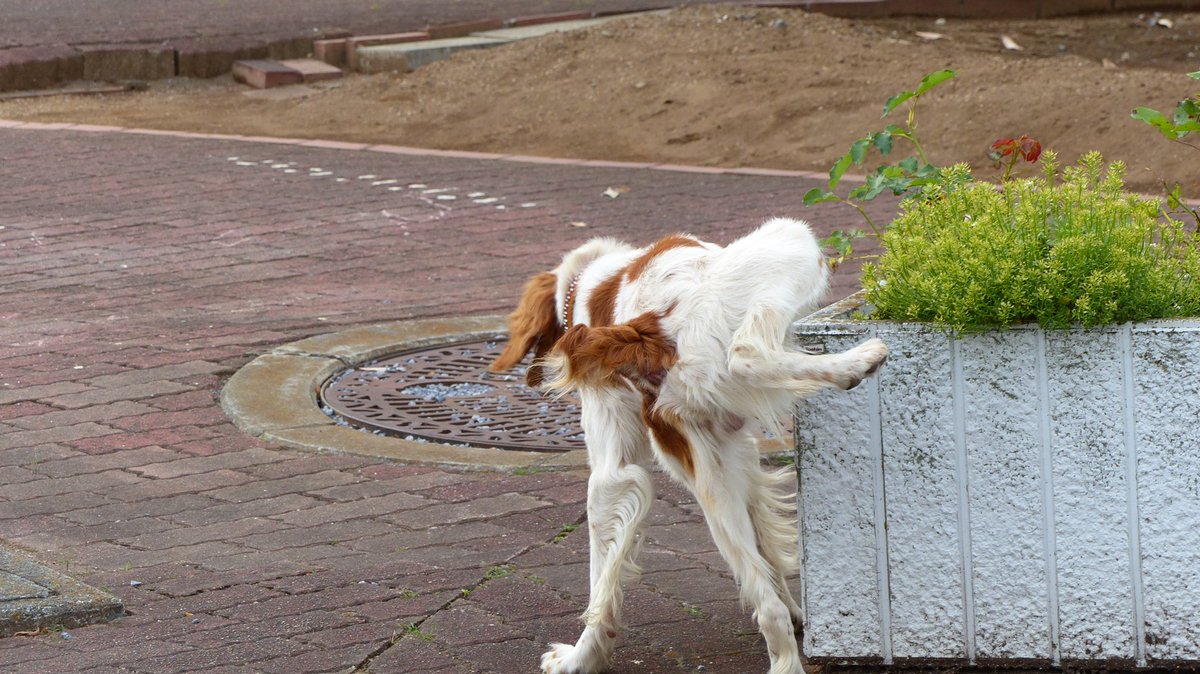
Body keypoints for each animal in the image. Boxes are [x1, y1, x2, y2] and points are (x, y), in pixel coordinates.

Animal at [489, 218, 892, 666]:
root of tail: (645, 333)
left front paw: (584, 654)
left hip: (710, 481)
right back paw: (857, 361)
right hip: (790, 239)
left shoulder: (673, 453)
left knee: (762, 602)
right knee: (747, 352)